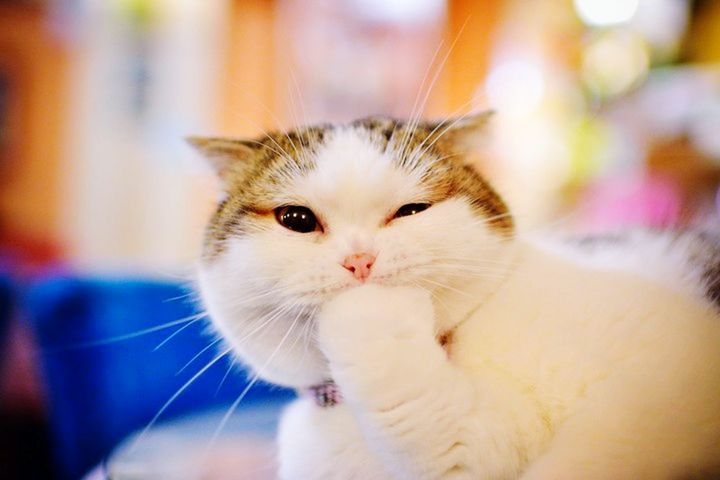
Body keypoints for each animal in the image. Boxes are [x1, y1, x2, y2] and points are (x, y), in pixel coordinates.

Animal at [190, 114, 720, 478]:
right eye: (296, 219)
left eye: (411, 210)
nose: (361, 261)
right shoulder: (470, 442)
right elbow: (436, 432)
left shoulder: (664, 371)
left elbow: (594, 451)